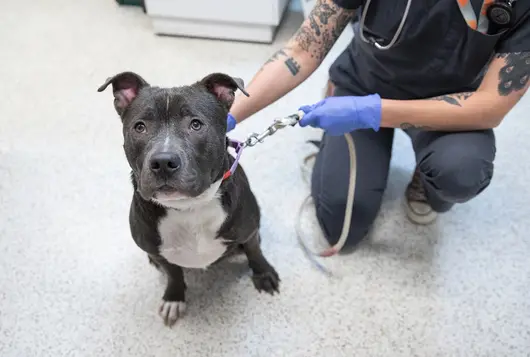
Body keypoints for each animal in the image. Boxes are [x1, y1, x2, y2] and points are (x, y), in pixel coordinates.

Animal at [98, 71, 280, 326]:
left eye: (196, 124)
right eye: (140, 127)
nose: (163, 162)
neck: (190, 208)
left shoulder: (249, 231)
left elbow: (255, 251)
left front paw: (263, 273)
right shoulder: (161, 253)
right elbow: (173, 274)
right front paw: (174, 298)